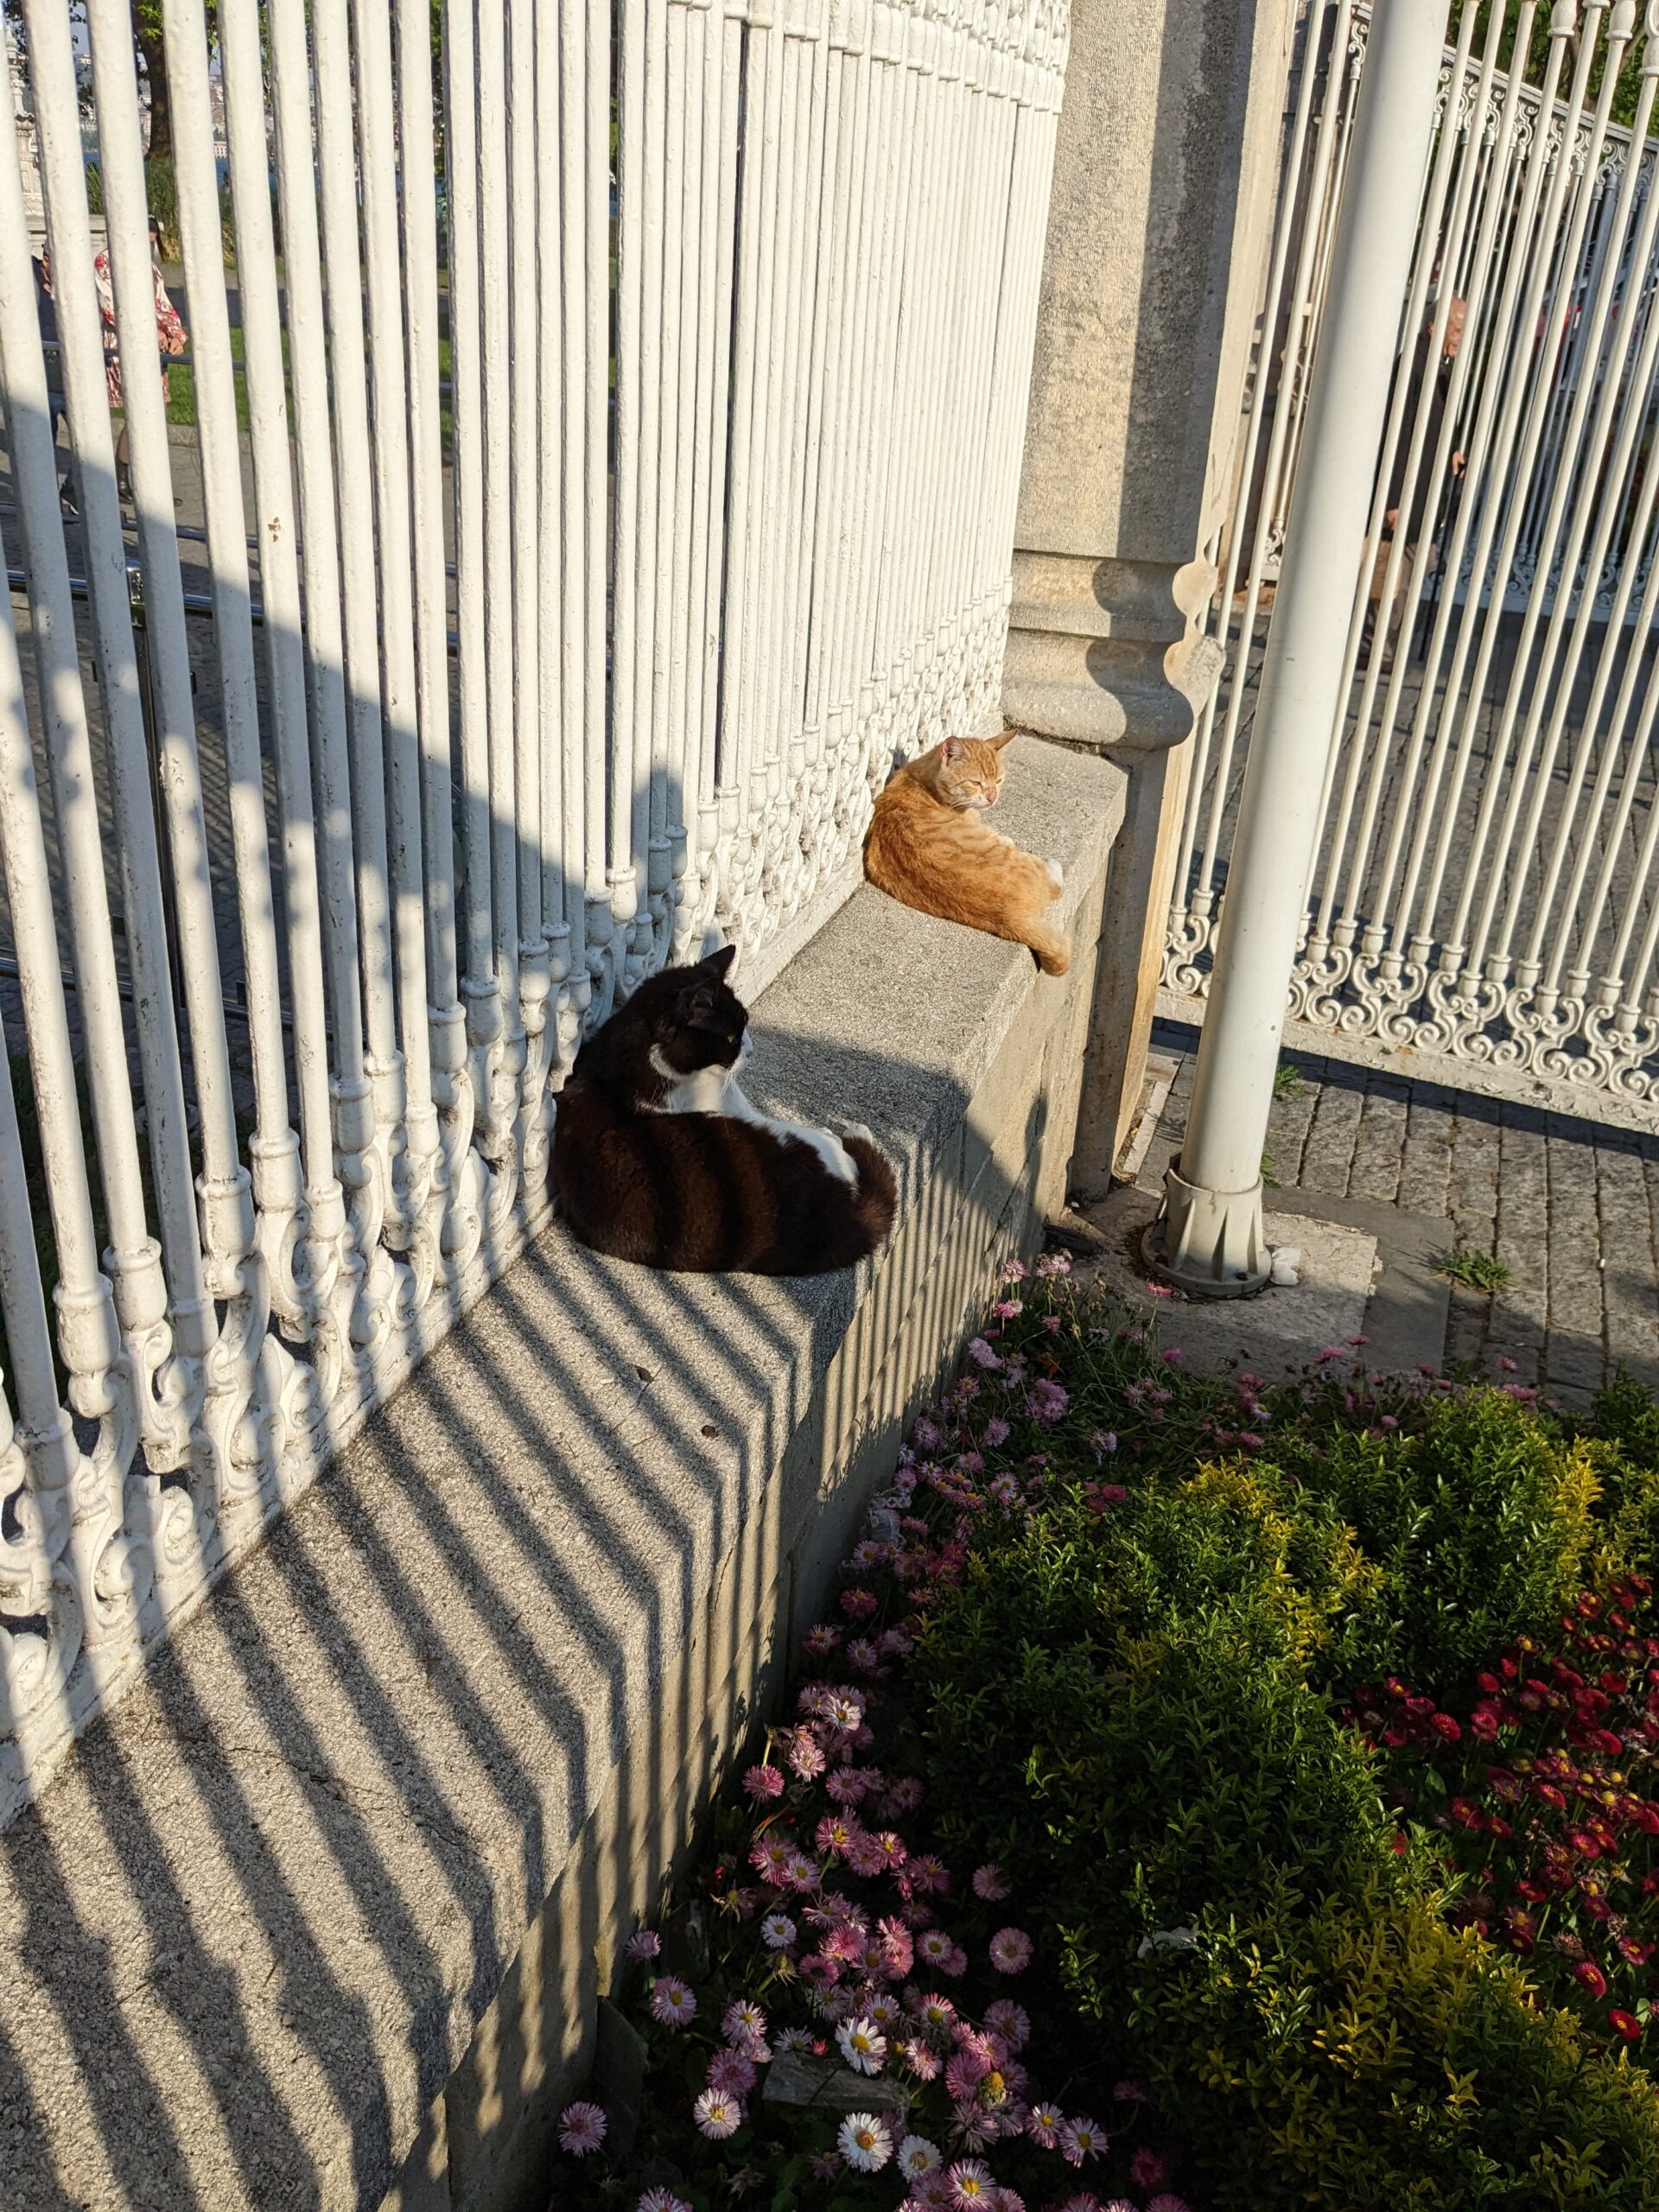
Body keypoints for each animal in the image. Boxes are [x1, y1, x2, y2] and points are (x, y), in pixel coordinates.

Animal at [862, 734, 1070, 975]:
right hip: (1029, 860)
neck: (921, 784)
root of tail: (1011, 916)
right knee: (1056, 886)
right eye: (976, 783)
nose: (992, 798)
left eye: (998, 781)